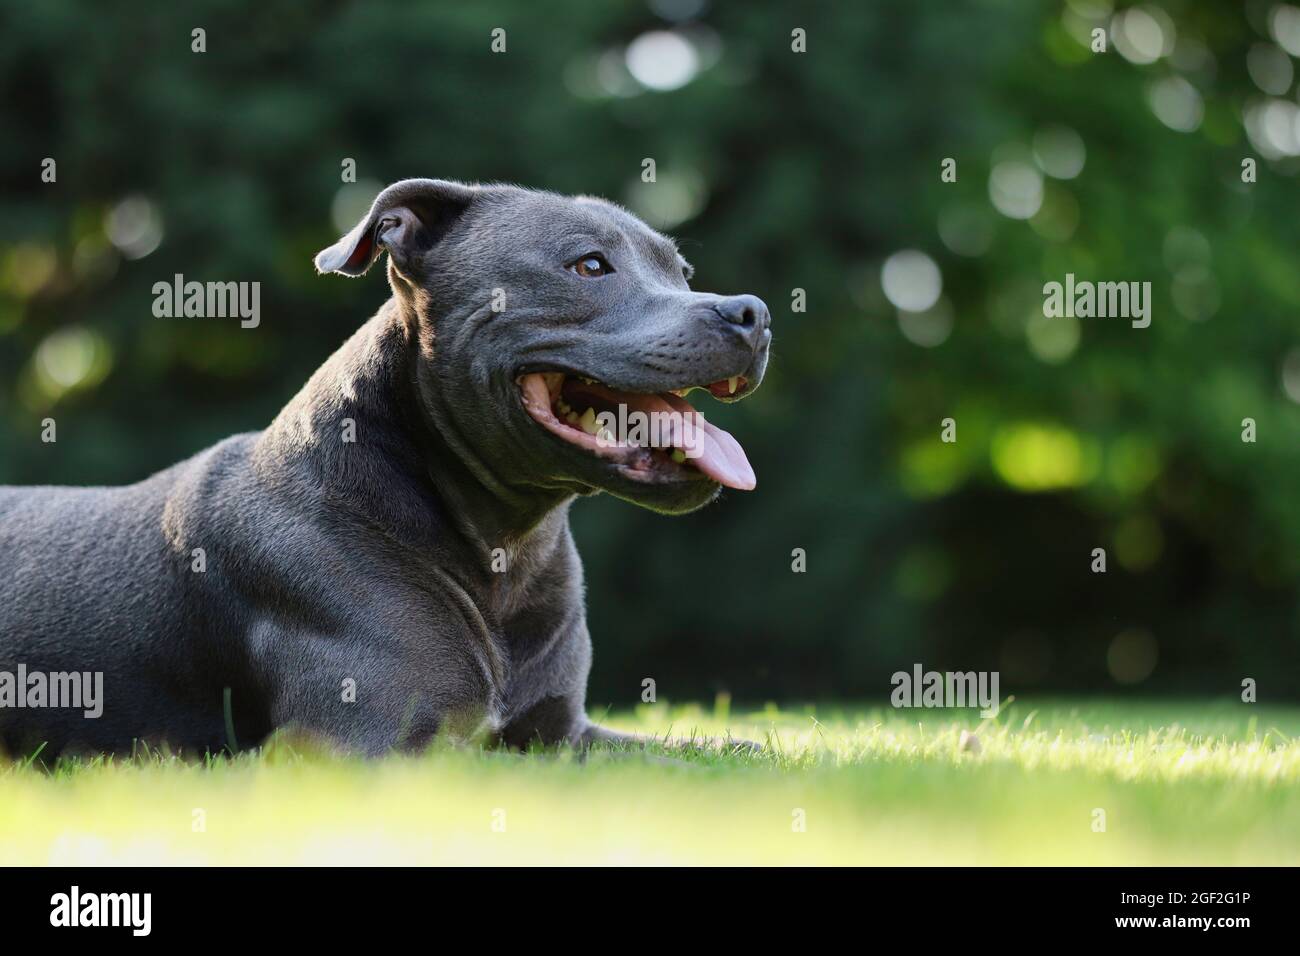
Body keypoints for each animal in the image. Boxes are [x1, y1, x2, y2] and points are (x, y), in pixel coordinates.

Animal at [0, 179, 769, 759]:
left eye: (681, 273)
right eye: (588, 265)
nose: (754, 311)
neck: (503, 549)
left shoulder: (561, 731)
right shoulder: (367, 745)